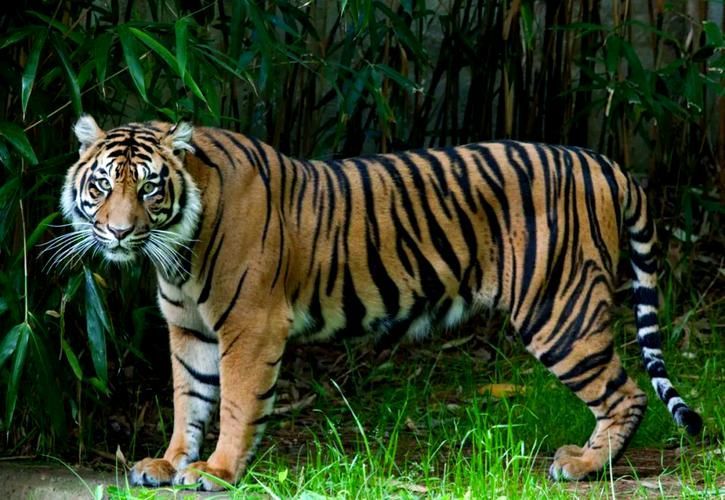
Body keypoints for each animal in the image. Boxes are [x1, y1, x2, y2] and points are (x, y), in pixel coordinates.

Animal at [57, 115, 701, 490]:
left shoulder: (250, 327)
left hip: (559, 310)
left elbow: (236, 403)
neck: (177, 250)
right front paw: (168, 464)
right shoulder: (189, 329)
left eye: (149, 187)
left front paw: (215, 471)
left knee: (626, 394)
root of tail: (604, 162)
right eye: (103, 185)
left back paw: (586, 466)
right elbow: (188, 400)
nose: (118, 232)